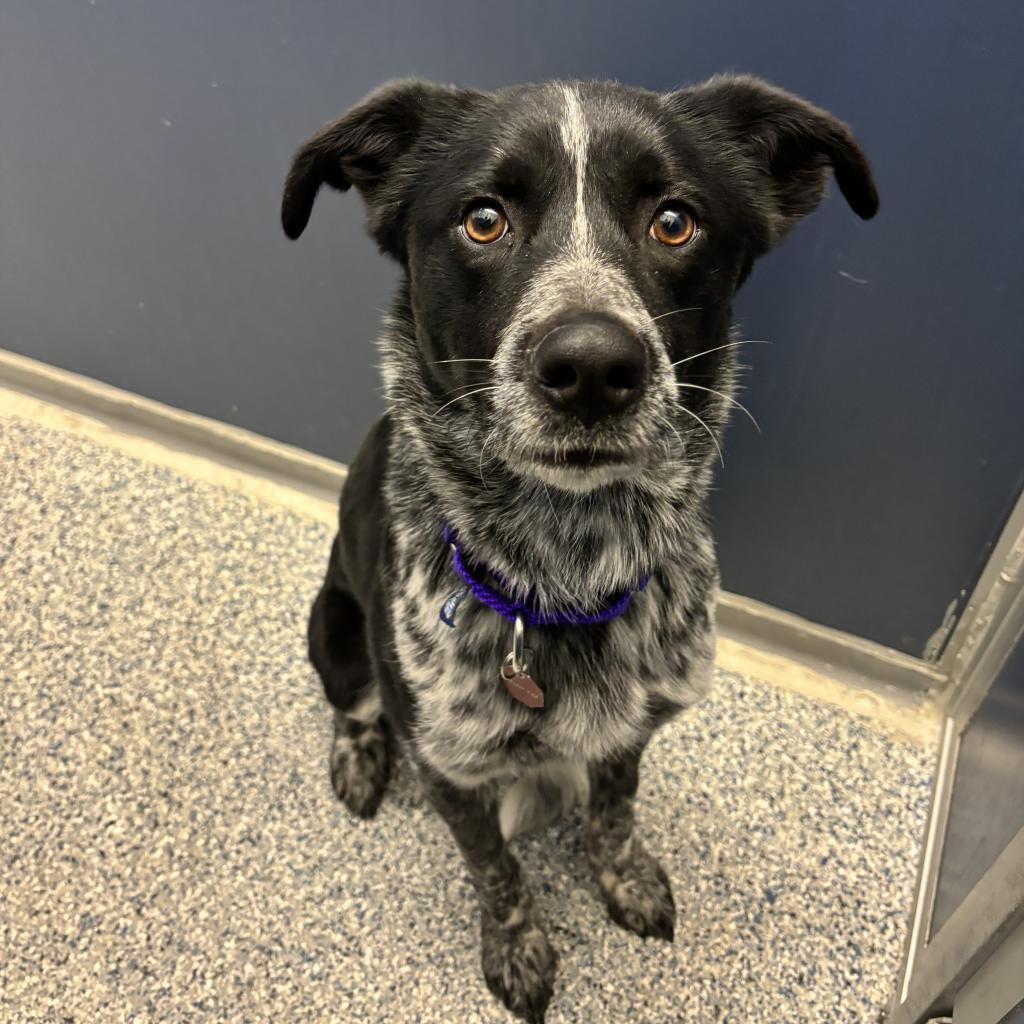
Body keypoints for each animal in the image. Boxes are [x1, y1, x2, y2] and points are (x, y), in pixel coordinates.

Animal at [282, 75, 880, 1019]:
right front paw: (518, 949)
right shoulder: (453, 771)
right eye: (482, 218)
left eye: (675, 221)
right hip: (331, 629)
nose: (594, 365)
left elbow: (614, 809)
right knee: (353, 705)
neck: (568, 564)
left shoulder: (634, 728)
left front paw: (623, 879)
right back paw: (359, 757)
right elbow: (496, 871)